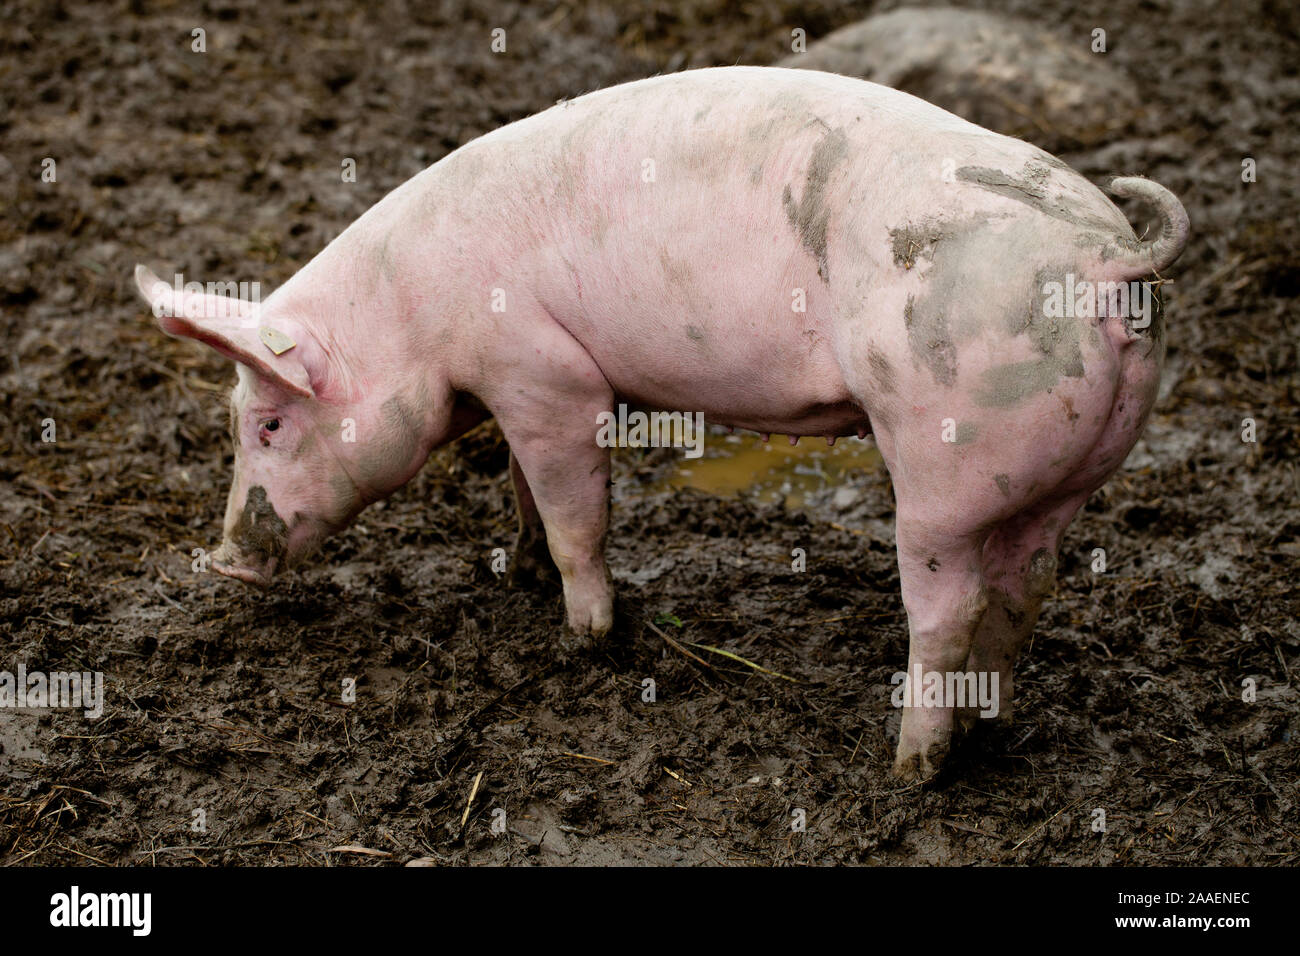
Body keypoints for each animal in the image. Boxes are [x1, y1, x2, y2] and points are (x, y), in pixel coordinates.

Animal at [134, 66, 1188, 781]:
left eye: (270, 425)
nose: (222, 562)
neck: (411, 318)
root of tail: (1102, 255)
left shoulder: (548, 377)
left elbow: (575, 515)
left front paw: (584, 641)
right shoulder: (515, 394)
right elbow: (522, 490)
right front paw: (522, 573)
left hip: (944, 461)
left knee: (949, 608)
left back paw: (908, 771)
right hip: (1067, 471)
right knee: (1027, 587)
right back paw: (984, 730)